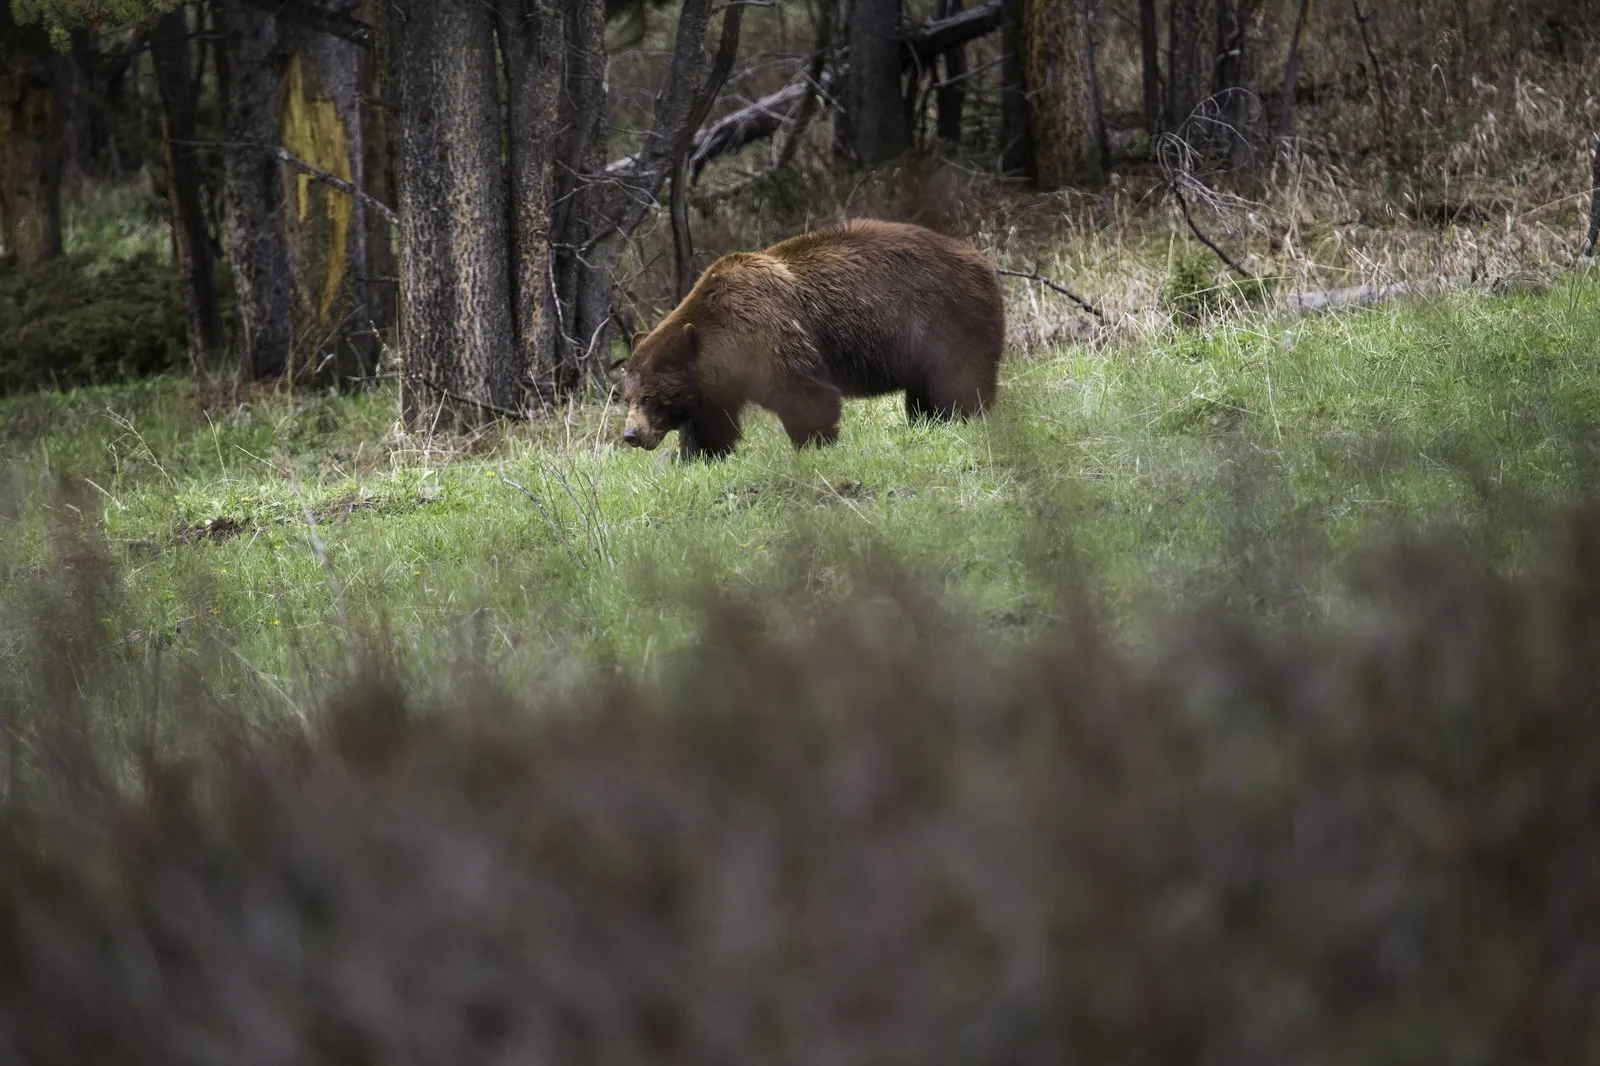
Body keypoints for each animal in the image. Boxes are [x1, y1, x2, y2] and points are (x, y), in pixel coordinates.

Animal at [618, 218, 1007, 462]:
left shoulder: (770, 334)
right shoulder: (714, 384)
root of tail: (981, 259)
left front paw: (814, 443)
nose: (631, 435)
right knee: (924, 394)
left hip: (948, 318)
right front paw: (699, 456)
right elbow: (710, 424)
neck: (726, 340)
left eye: (649, 397)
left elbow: (805, 394)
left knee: (961, 379)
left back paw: (966, 415)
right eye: (627, 397)